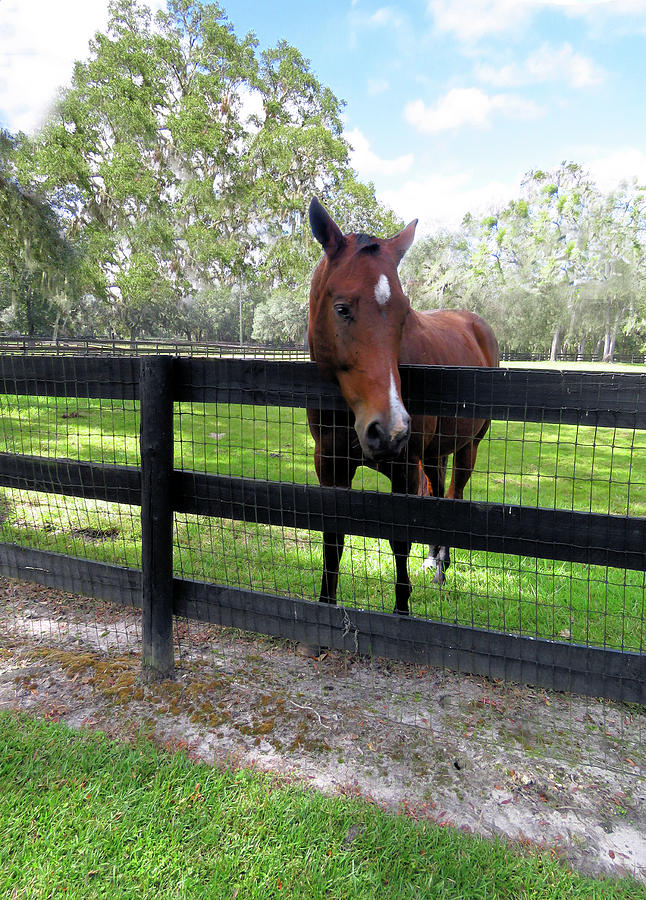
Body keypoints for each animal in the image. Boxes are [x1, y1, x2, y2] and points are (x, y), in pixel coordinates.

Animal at [308, 198, 502, 616]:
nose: (390, 430)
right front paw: (325, 606)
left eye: (404, 314)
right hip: (434, 454)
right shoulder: (330, 467)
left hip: (468, 448)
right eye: (342, 308)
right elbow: (333, 541)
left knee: (453, 494)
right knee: (438, 490)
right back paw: (434, 558)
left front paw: (401, 611)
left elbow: (399, 540)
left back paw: (443, 565)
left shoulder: (403, 468)